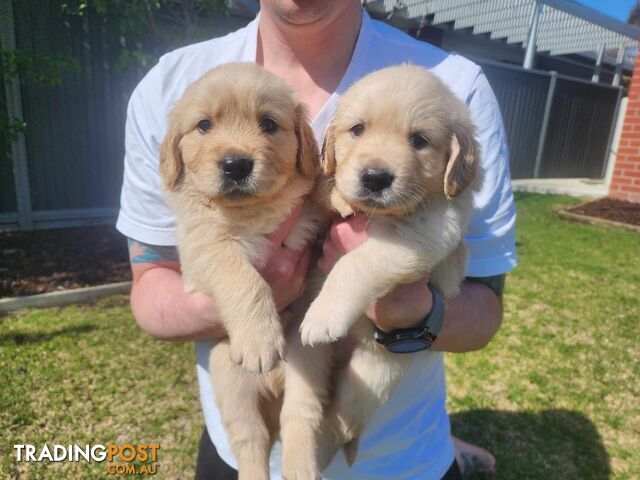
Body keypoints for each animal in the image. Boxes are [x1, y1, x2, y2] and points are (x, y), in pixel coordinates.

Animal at [160, 62, 324, 480]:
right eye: (204, 125)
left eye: (268, 124)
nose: (236, 165)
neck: (251, 211)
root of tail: (276, 384)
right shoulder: (204, 250)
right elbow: (243, 277)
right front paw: (259, 340)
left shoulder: (309, 223)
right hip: (230, 380)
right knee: (251, 440)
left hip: (306, 364)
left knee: (300, 418)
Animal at [296, 64, 480, 468]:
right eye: (357, 129)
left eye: (419, 140)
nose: (375, 178)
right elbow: (322, 188)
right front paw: (335, 193)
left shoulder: (425, 234)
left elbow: (356, 262)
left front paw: (322, 316)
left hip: (369, 375)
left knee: (340, 425)